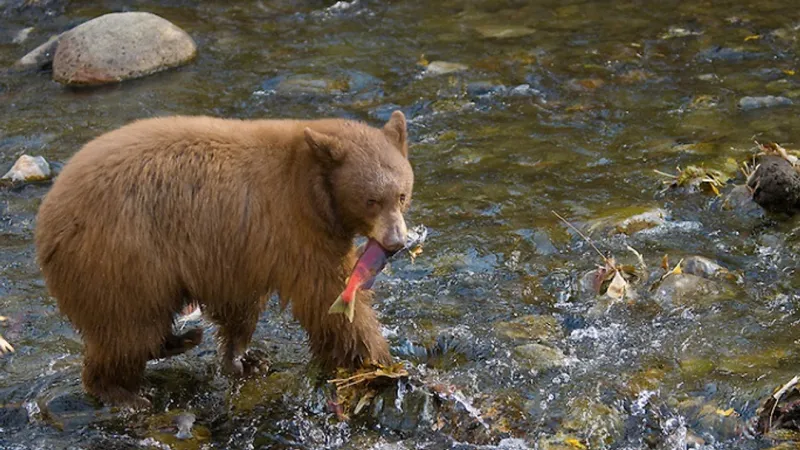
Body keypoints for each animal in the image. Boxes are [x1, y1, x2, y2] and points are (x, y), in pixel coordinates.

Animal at [34, 111, 414, 408]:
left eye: (401, 194)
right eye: (371, 200)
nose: (396, 242)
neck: (313, 190)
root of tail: (47, 216)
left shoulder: (242, 251)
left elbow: (239, 306)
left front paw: (245, 360)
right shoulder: (294, 230)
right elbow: (326, 297)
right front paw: (380, 363)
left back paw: (183, 339)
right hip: (122, 257)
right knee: (127, 326)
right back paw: (121, 392)